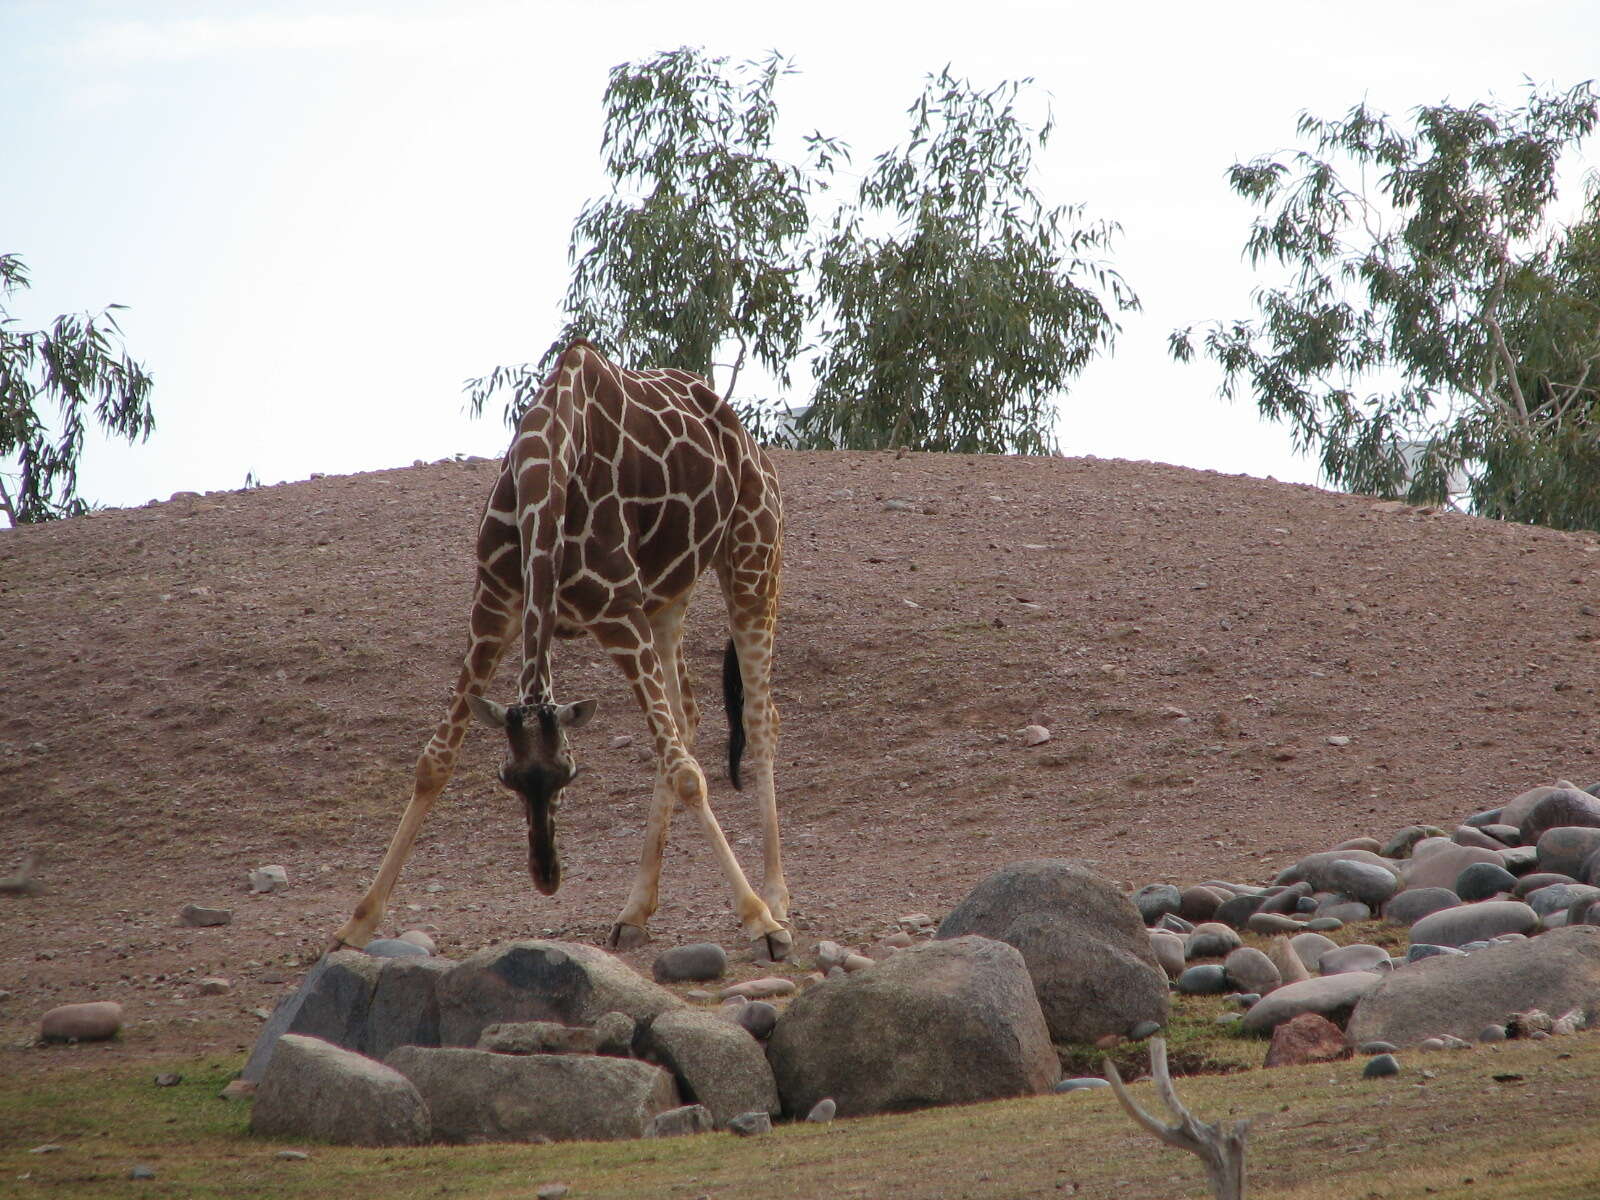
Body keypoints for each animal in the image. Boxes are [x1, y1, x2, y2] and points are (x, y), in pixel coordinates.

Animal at [332, 339, 793, 960]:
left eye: (569, 776)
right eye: (508, 778)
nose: (546, 878)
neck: (546, 467)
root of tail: (746, 438)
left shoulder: (616, 613)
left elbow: (688, 774)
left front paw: (759, 920)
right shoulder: (493, 607)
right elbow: (434, 762)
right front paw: (356, 924)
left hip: (753, 556)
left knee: (758, 717)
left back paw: (777, 899)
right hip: (669, 595)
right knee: (687, 716)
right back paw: (634, 912)